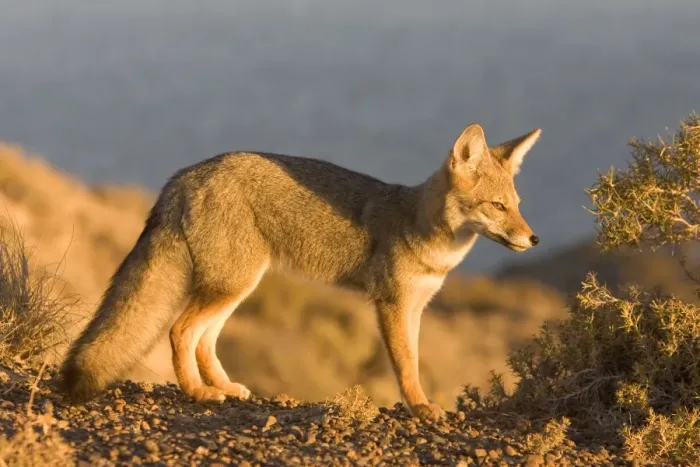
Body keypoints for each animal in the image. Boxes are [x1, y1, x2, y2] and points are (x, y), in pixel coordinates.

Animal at [60, 123, 541, 421]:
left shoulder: (417, 307)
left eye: (518, 205)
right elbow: (406, 365)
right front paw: (421, 408)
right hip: (231, 284)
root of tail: (184, 175)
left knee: (205, 340)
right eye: (498, 207)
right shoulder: (391, 304)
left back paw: (224, 387)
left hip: (238, 285)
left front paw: (421, 403)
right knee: (180, 332)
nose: (534, 239)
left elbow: (416, 360)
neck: (420, 227)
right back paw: (198, 393)